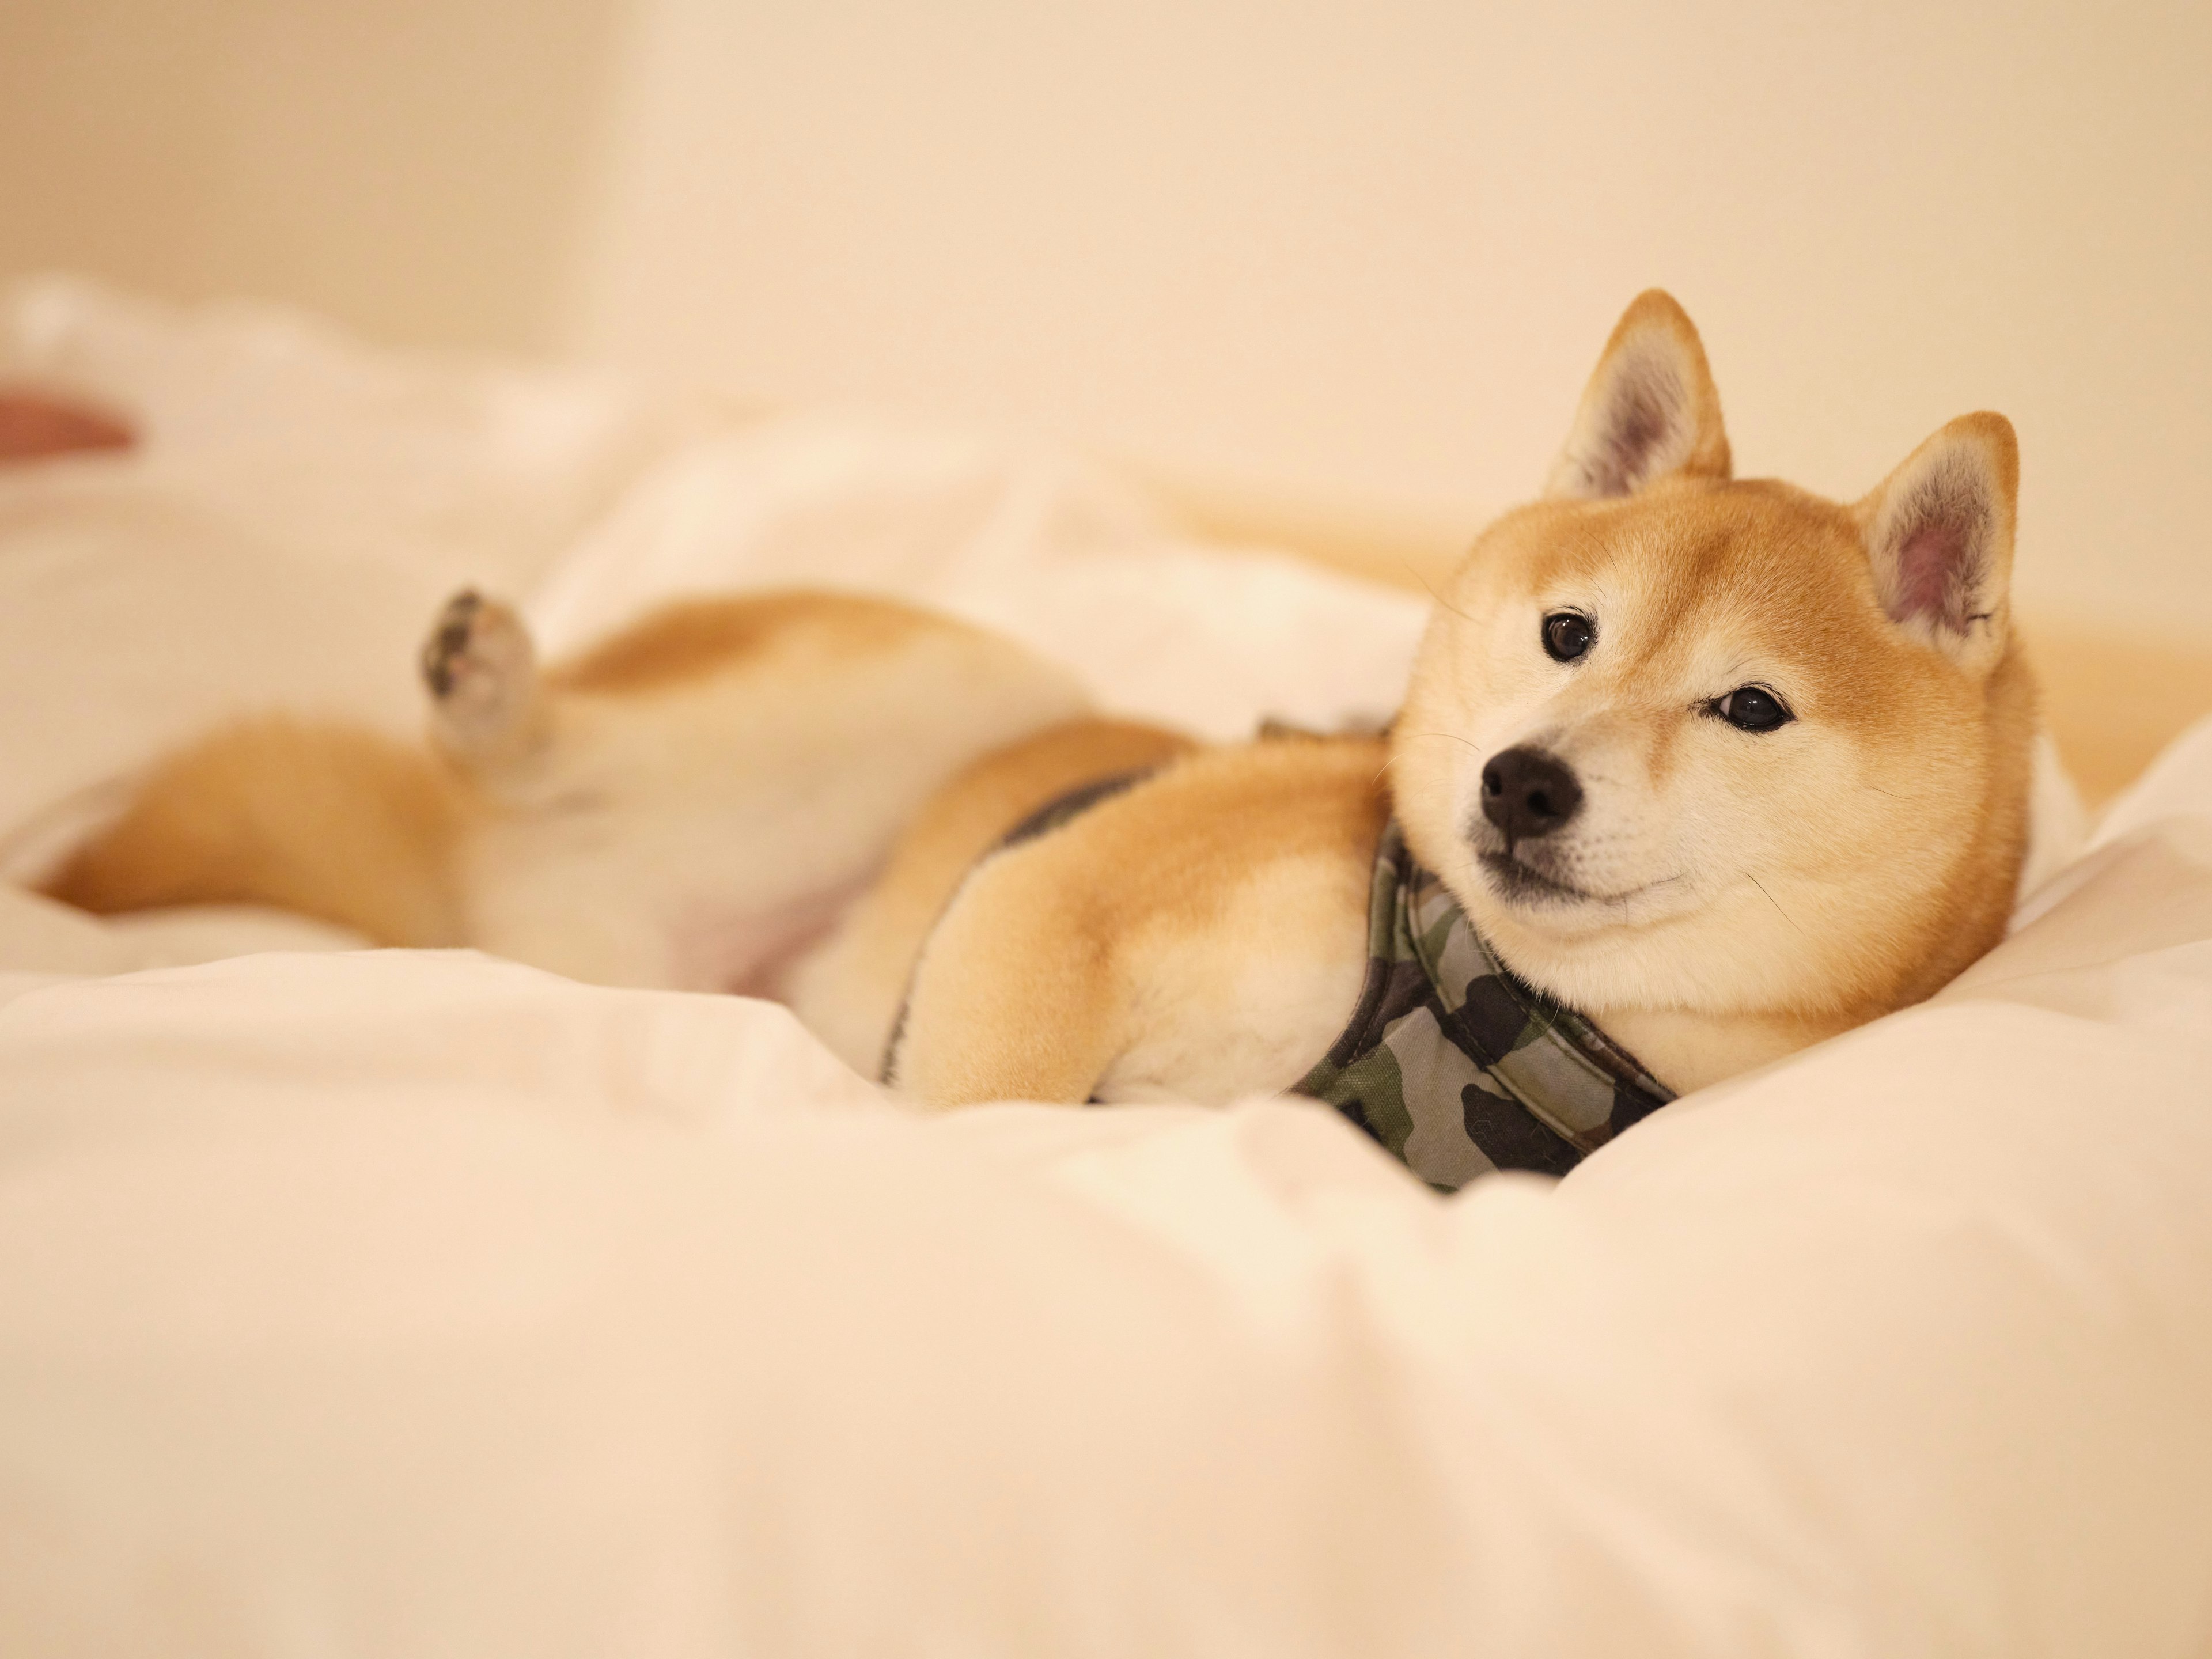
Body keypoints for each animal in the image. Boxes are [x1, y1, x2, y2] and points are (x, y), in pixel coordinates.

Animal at [39, 291, 2035, 1159]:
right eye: (1565, 636)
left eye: (1748, 709)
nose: (1520, 781)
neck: (1497, 1007)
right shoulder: (1050, 898)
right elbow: (983, 1102)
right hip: (954, 695)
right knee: (546, 750)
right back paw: (492, 696)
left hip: (607, 969)